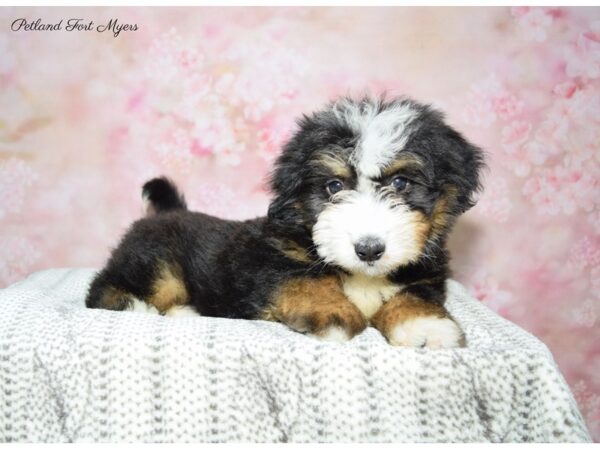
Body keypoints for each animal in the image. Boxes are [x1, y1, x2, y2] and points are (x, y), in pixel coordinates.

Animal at [86, 95, 486, 348]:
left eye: (401, 183)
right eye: (334, 186)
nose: (369, 249)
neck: (361, 276)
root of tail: (167, 212)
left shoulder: (424, 273)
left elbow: (414, 295)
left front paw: (427, 327)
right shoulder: (269, 263)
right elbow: (307, 282)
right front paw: (332, 314)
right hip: (154, 260)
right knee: (104, 288)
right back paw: (141, 306)